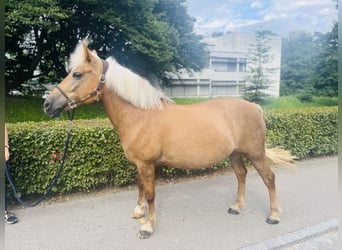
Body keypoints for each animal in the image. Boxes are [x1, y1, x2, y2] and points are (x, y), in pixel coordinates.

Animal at [44, 40, 296, 239]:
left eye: (77, 74)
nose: (48, 104)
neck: (140, 114)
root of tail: (253, 106)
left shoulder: (147, 164)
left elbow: (151, 193)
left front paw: (148, 227)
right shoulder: (140, 164)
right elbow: (140, 186)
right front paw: (139, 212)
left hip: (256, 153)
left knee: (269, 178)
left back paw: (274, 215)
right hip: (234, 154)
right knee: (241, 175)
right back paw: (237, 206)